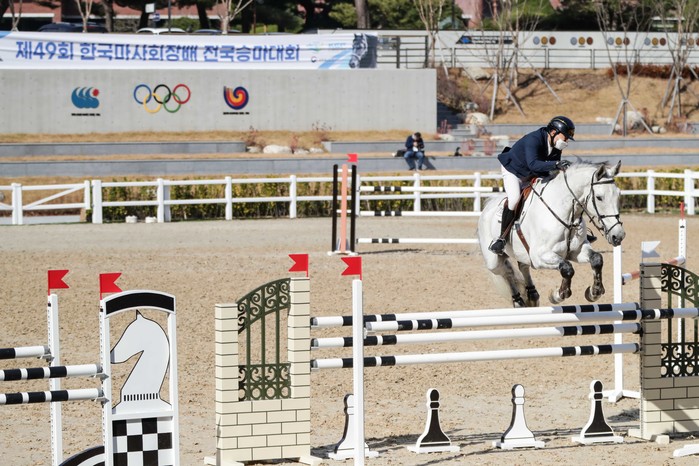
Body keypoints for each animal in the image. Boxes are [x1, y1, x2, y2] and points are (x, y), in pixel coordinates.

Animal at [477, 161, 625, 307]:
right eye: (599, 198)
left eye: (619, 195)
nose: (618, 236)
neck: (566, 214)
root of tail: (489, 204)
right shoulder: (540, 256)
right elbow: (567, 268)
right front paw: (558, 295)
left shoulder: (576, 250)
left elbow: (596, 259)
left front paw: (594, 292)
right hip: (493, 261)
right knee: (506, 271)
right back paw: (518, 300)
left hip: (522, 253)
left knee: (522, 266)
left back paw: (532, 295)